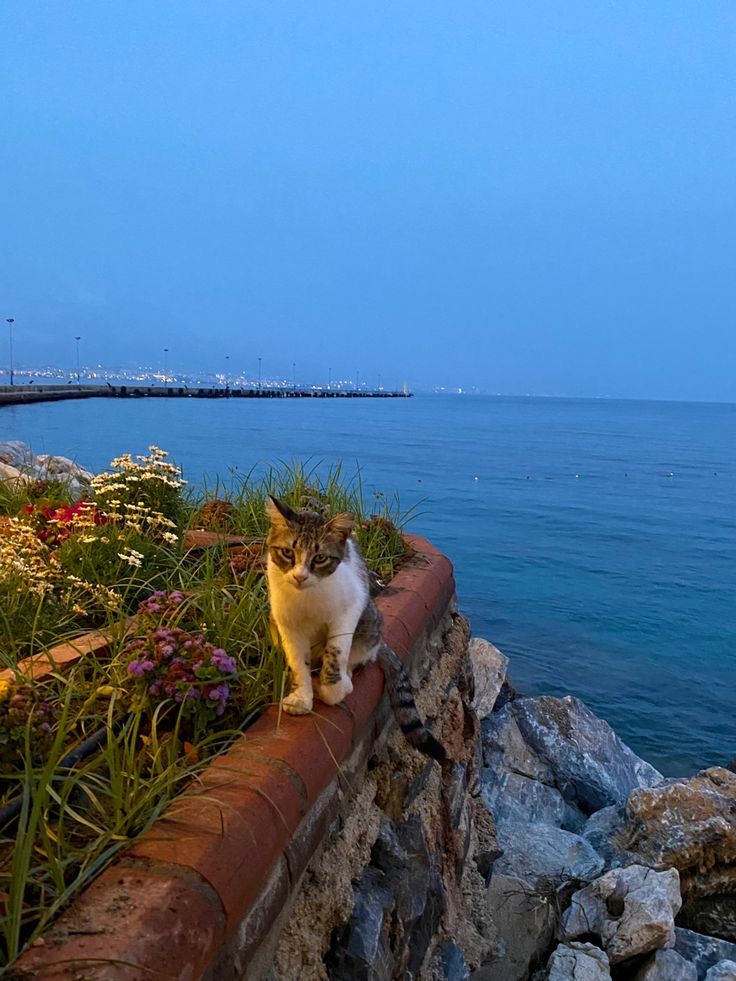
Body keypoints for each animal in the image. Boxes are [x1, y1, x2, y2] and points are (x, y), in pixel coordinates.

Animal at [268, 494, 446, 760]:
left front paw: (333, 689)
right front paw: (302, 697)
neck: (306, 597)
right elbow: (298, 661)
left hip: (370, 621)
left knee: (360, 654)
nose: (299, 576)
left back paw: (347, 675)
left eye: (319, 558)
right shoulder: (286, 623)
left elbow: (336, 650)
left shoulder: (349, 608)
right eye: (288, 552)